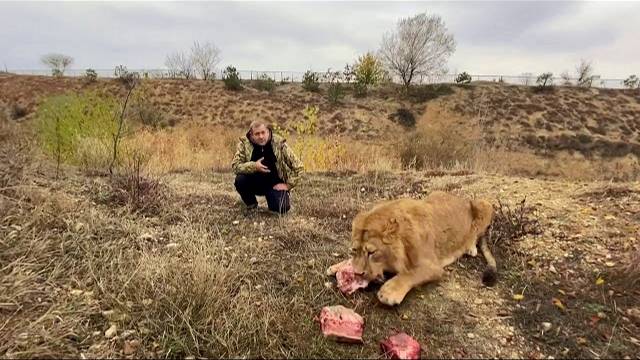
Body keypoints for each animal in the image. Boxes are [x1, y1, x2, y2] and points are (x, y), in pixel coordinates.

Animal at [328, 191, 498, 306]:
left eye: (372, 252)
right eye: (354, 250)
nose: (357, 274)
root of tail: (463, 199)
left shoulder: (433, 266)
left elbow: (411, 273)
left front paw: (389, 291)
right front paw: (338, 266)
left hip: (485, 205)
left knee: (476, 233)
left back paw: (470, 248)